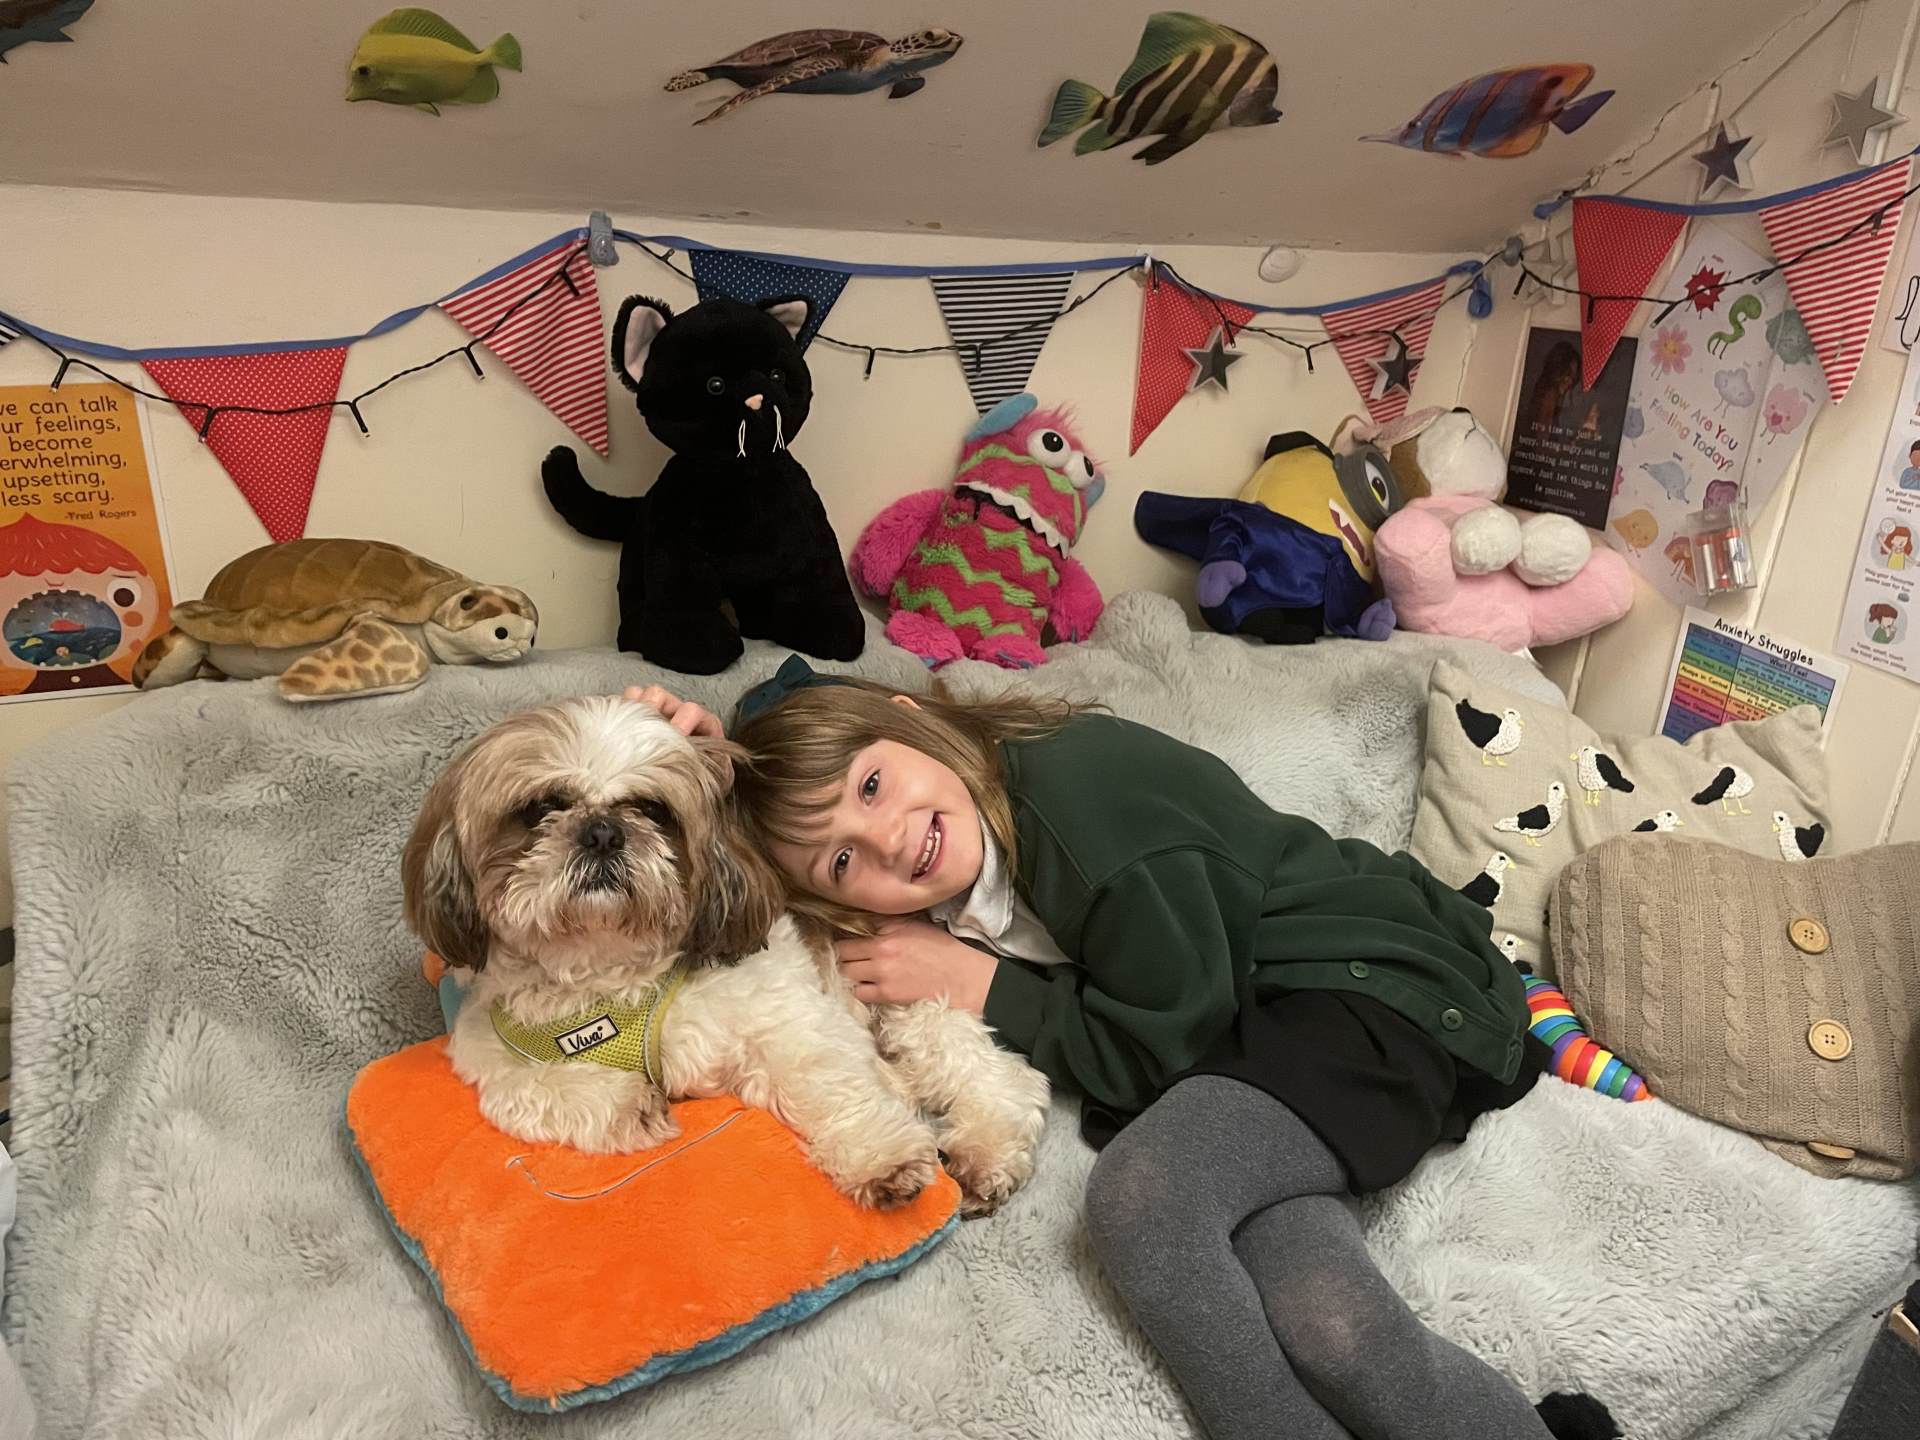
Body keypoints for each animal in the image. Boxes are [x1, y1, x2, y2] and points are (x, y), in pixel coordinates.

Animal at [402, 696, 1048, 1214]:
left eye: (652, 810)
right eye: (541, 808)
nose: (604, 831)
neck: (608, 971)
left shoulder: (789, 1022)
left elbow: (832, 1083)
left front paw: (883, 1161)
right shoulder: (488, 1050)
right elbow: (528, 1092)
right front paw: (630, 1104)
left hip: (912, 1003)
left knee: (998, 1076)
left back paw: (986, 1152)